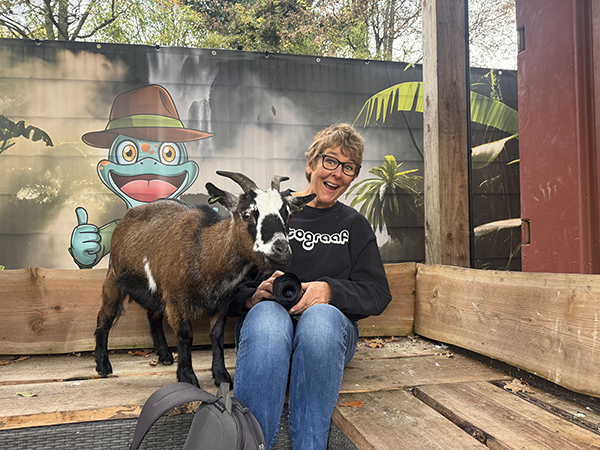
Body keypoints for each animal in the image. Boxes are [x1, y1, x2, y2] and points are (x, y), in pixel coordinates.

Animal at [94, 171, 315, 387]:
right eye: (246, 215)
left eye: (288, 215)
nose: (282, 251)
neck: (202, 250)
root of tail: (125, 219)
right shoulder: (176, 299)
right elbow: (185, 335)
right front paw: (187, 377)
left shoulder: (221, 303)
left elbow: (216, 337)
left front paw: (221, 375)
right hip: (114, 278)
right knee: (105, 316)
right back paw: (103, 366)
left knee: (153, 315)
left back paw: (164, 355)